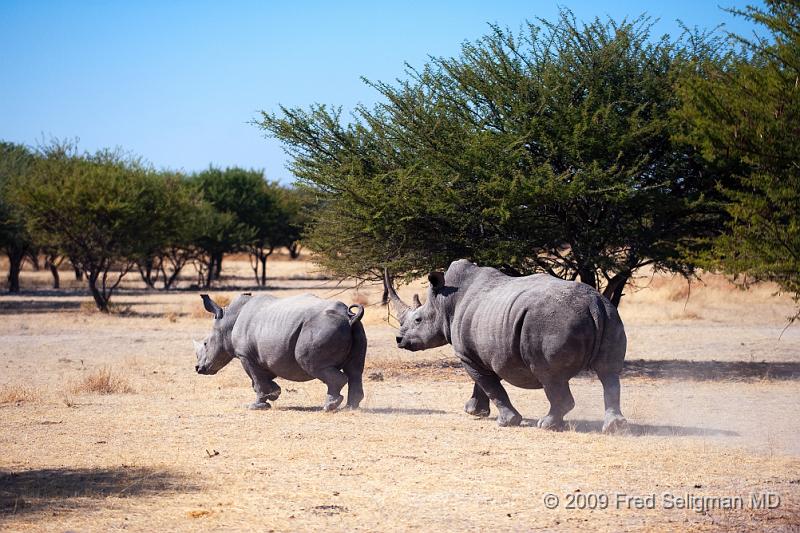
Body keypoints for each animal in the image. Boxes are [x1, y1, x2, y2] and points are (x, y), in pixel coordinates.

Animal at [194, 290, 368, 412]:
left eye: (205, 343)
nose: (198, 368)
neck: (227, 321)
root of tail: (348, 317)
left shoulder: (246, 356)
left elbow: (257, 380)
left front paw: (257, 406)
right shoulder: (263, 357)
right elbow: (262, 379)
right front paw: (274, 394)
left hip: (323, 327)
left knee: (314, 365)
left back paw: (328, 407)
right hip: (357, 329)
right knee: (355, 370)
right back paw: (350, 407)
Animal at [384, 258, 628, 432]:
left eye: (418, 320)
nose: (399, 340)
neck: (445, 302)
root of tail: (593, 303)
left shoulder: (466, 354)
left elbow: (489, 384)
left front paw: (506, 421)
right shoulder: (494, 349)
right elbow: (485, 382)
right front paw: (474, 411)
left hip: (551, 323)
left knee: (550, 375)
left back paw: (546, 425)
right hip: (611, 315)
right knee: (609, 373)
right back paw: (614, 427)